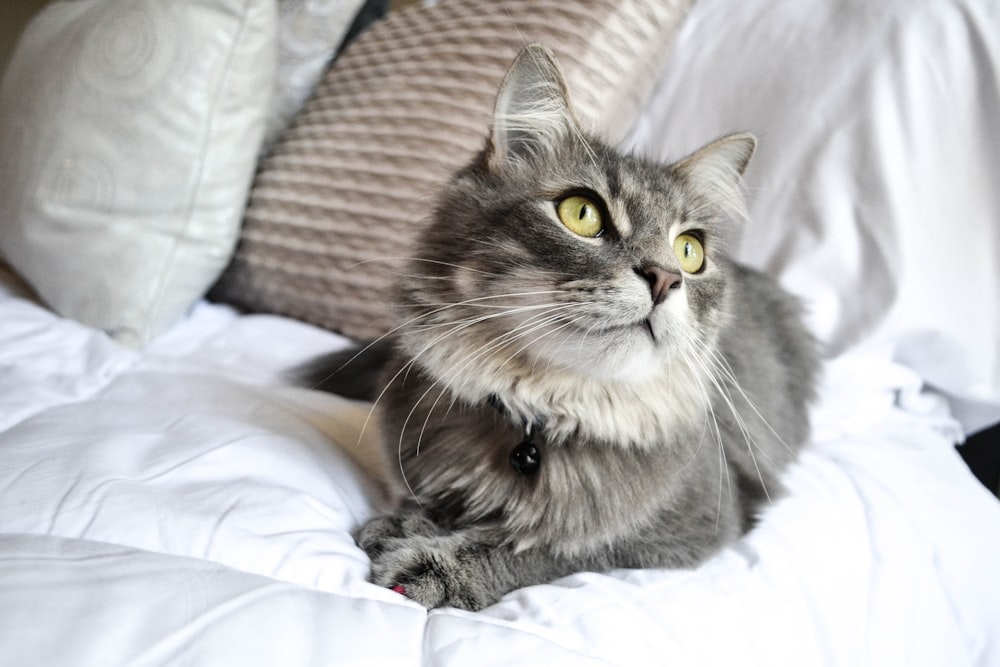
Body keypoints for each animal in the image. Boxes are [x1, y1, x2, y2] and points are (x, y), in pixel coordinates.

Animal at [300, 44, 816, 612]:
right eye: (582, 213)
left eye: (689, 251)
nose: (665, 278)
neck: (541, 412)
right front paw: (411, 521)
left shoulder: (690, 525)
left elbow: (548, 544)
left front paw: (440, 561)